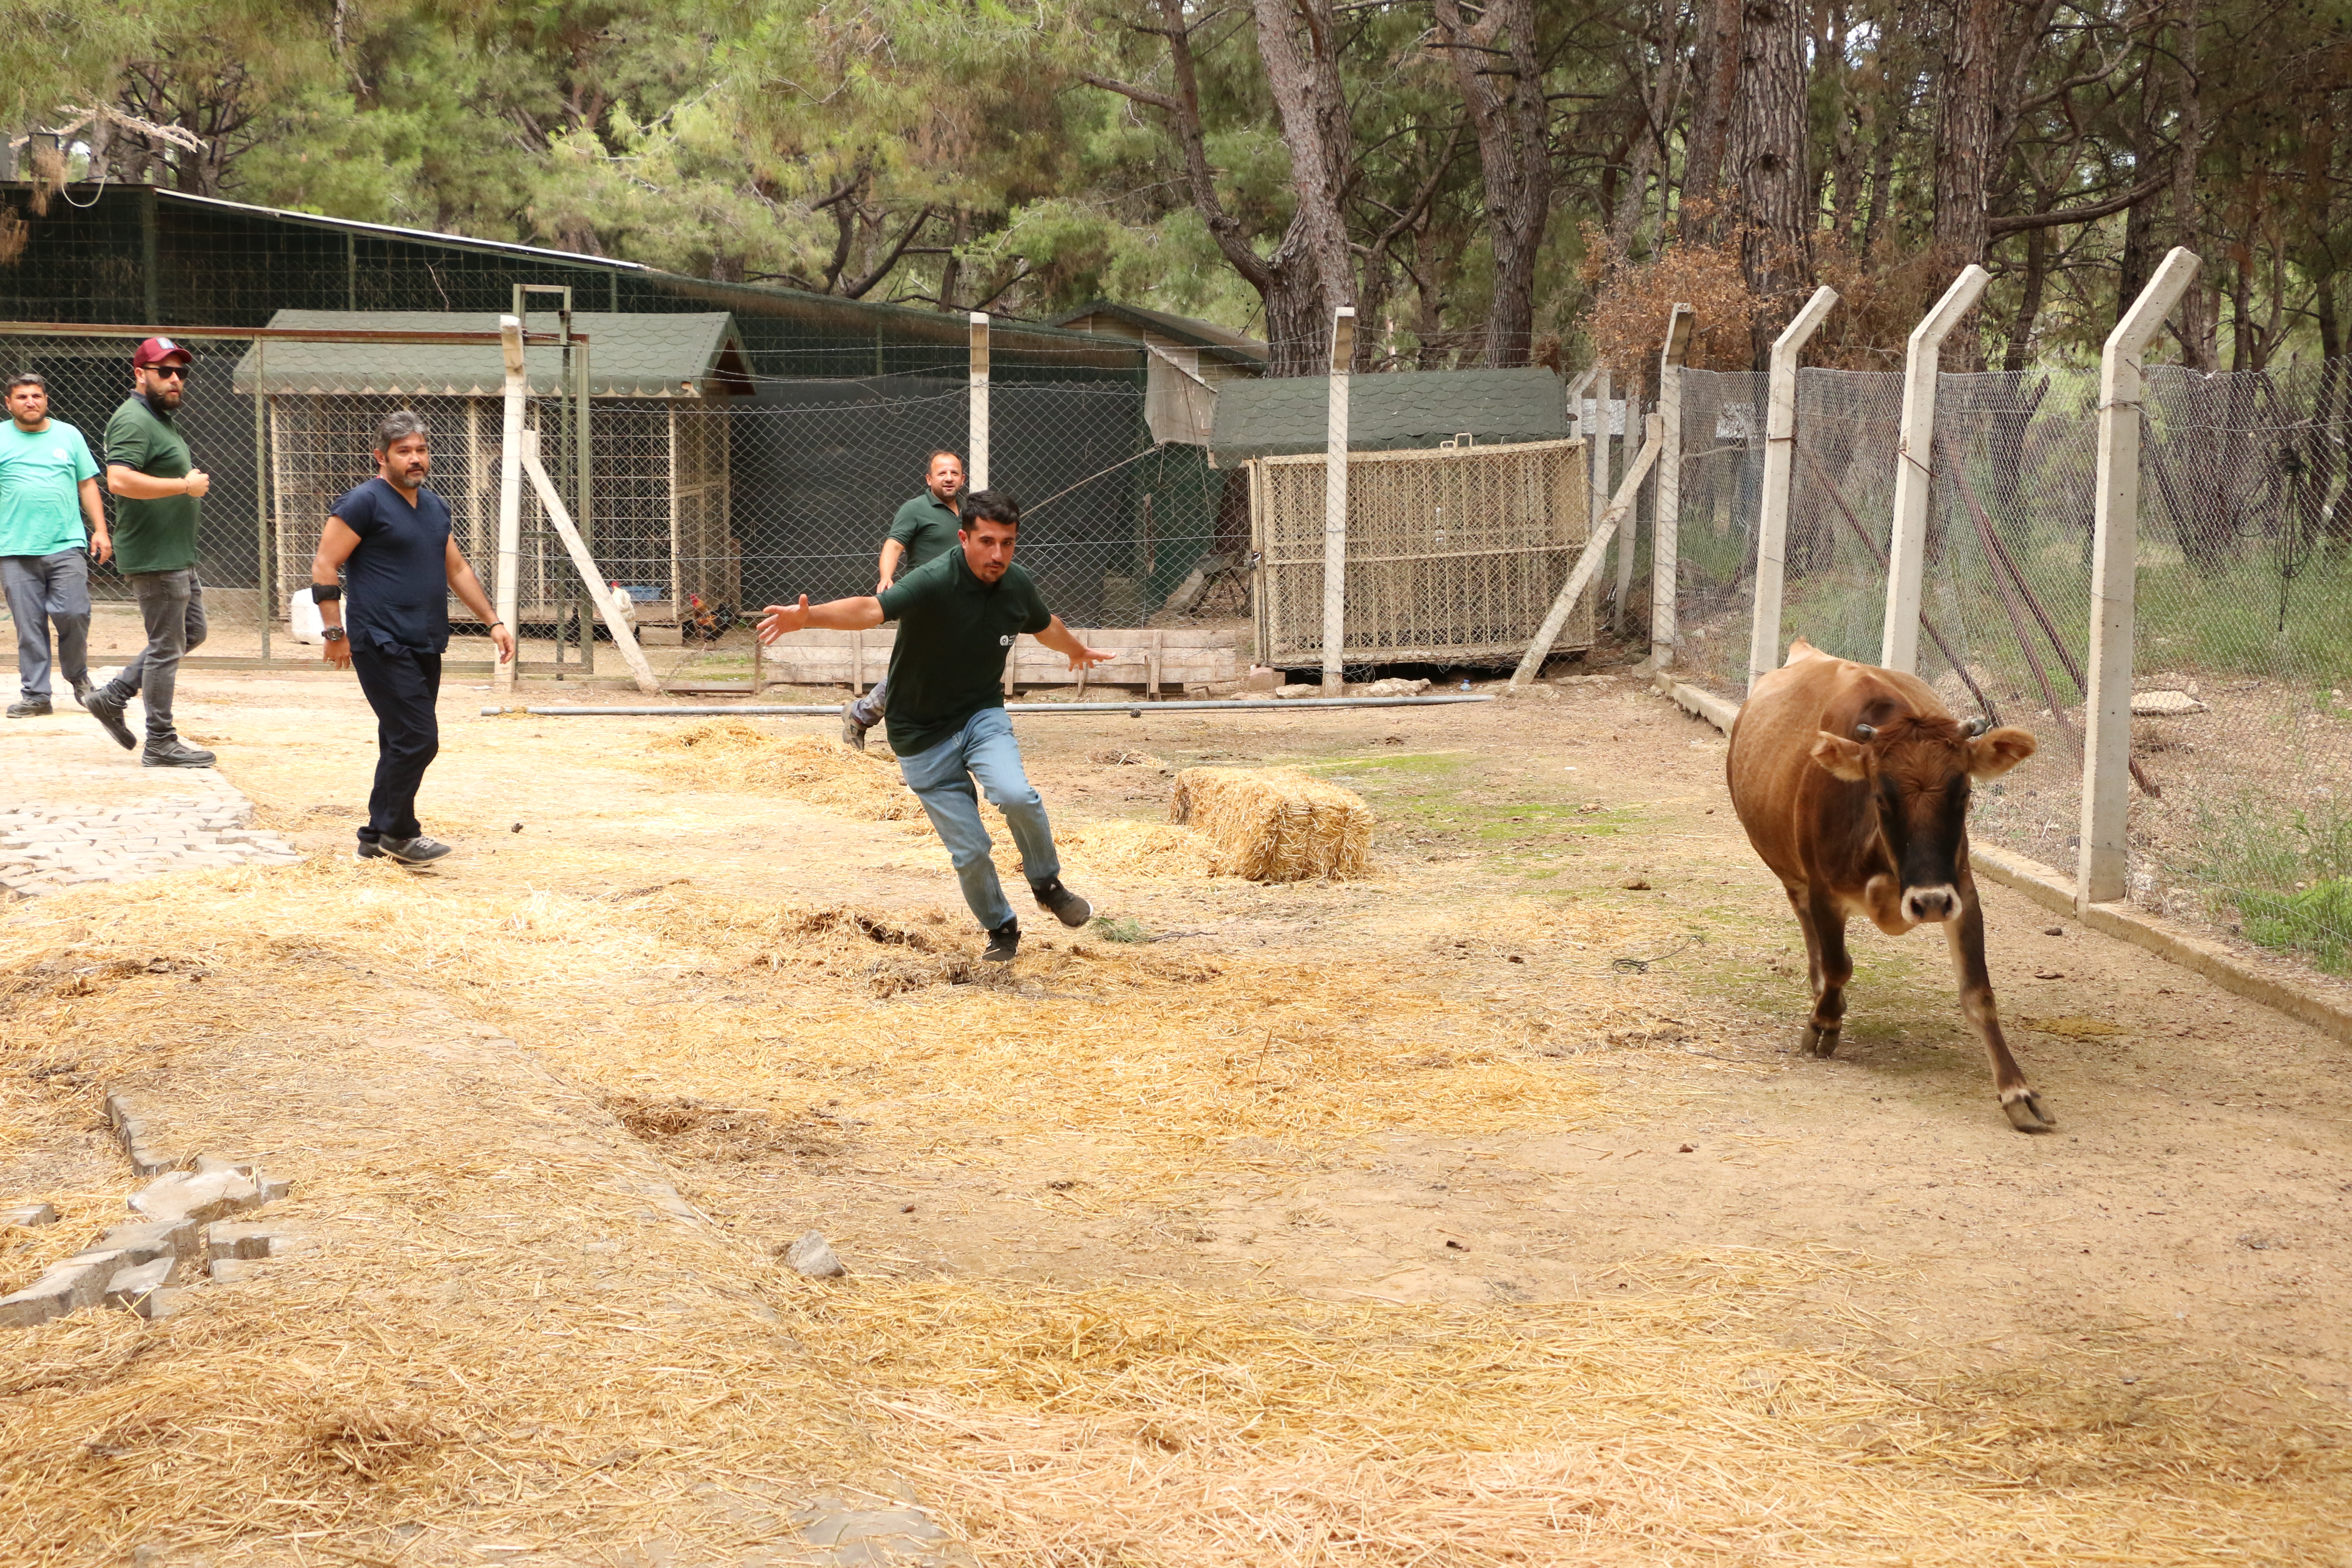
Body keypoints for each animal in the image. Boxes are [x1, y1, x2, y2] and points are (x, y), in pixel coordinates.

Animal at [1721, 644, 2051, 1133]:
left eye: (1965, 793)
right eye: (1880, 795)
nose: (1928, 902)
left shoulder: (1960, 892)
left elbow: (1979, 993)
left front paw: (2017, 1092)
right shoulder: (1823, 890)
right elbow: (1838, 965)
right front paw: (1824, 1024)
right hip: (1788, 871)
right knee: (1809, 931)